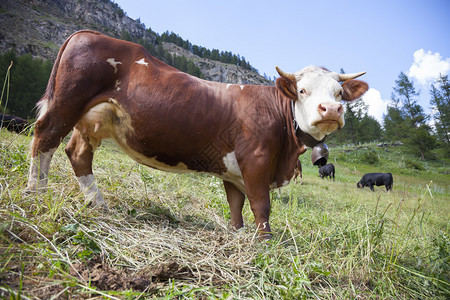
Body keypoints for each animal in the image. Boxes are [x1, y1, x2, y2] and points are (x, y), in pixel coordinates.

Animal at [25, 30, 370, 237]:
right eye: (302, 90)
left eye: (339, 93)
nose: (331, 110)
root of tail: (88, 33)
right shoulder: (256, 159)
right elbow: (261, 204)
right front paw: (266, 241)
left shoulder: (233, 170)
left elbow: (235, 204)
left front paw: (236, 234)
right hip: (66, 104)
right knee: (44, 139)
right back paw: (35, 194)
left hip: (93, 120)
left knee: (78, 154)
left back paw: (98, 205)